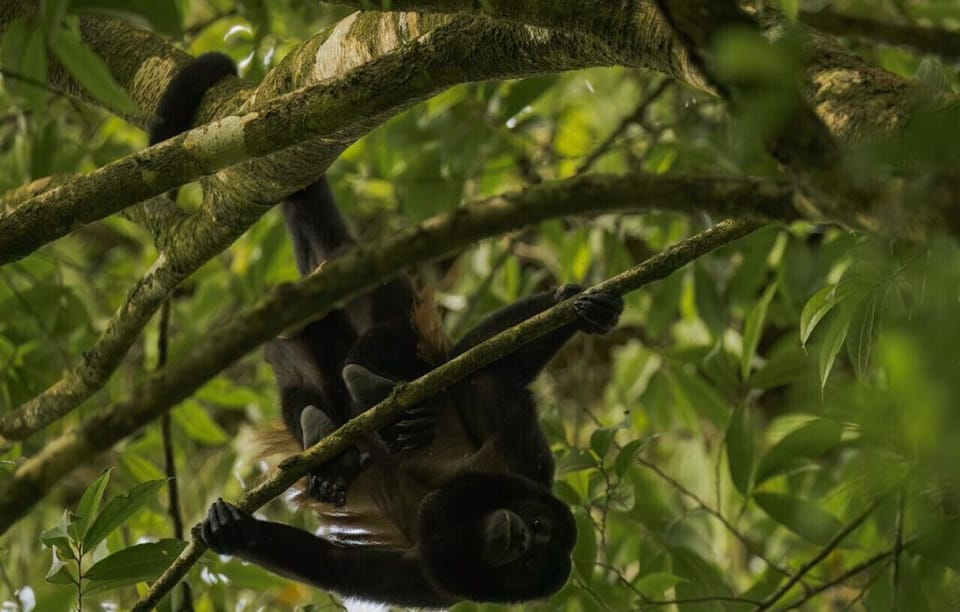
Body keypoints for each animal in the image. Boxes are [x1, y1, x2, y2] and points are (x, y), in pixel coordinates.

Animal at [149, 52, 623, 606]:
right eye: (539, 528)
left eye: (531, 562)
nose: (522, 538)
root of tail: (338, 259)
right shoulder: (519, 453)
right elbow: (486, 372)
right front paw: (582, 305)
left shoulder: (432, 583)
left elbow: (338, 566)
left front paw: (235, 533)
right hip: (373, 286)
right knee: (390, 334)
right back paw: (372, 396)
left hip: (308, 320)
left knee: (299, 378)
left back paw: (330, 427)